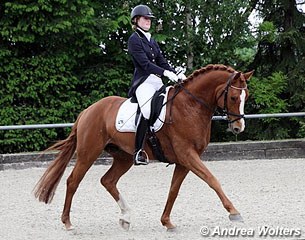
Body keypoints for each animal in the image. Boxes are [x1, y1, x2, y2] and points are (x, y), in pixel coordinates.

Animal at [33, 63, 253, 231]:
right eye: (233, 98)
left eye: (247, 96)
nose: (238, 127)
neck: (190, 106)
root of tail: (87, 111)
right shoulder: (187, 155)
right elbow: (212, 180)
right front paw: (234, 212)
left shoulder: (185, 160)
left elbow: (173, 190)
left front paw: (167, 222)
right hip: (88, 153)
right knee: (73, 181)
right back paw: (68, 222)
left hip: (123, 157)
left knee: (108, 181)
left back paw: (126, 217)